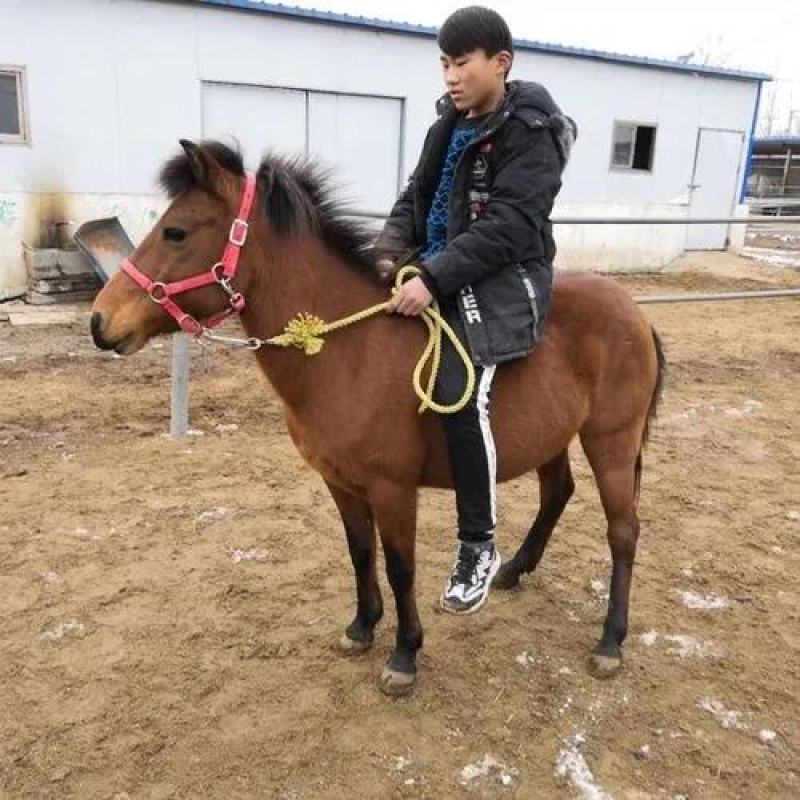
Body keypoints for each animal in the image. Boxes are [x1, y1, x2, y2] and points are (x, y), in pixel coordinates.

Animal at [90, 140, 665, 697]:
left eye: (176, 231)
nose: (100, 321)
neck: (349, 351)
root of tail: (634, 312)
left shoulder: (392, 489)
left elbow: (399, 565)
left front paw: (405, 654)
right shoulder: (342, 483)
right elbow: (361, 553)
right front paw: (362, 626)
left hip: (611, 441)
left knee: (624, 531)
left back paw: (610, 641)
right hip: (555, 438)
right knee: (558, 493)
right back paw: (513, 572)